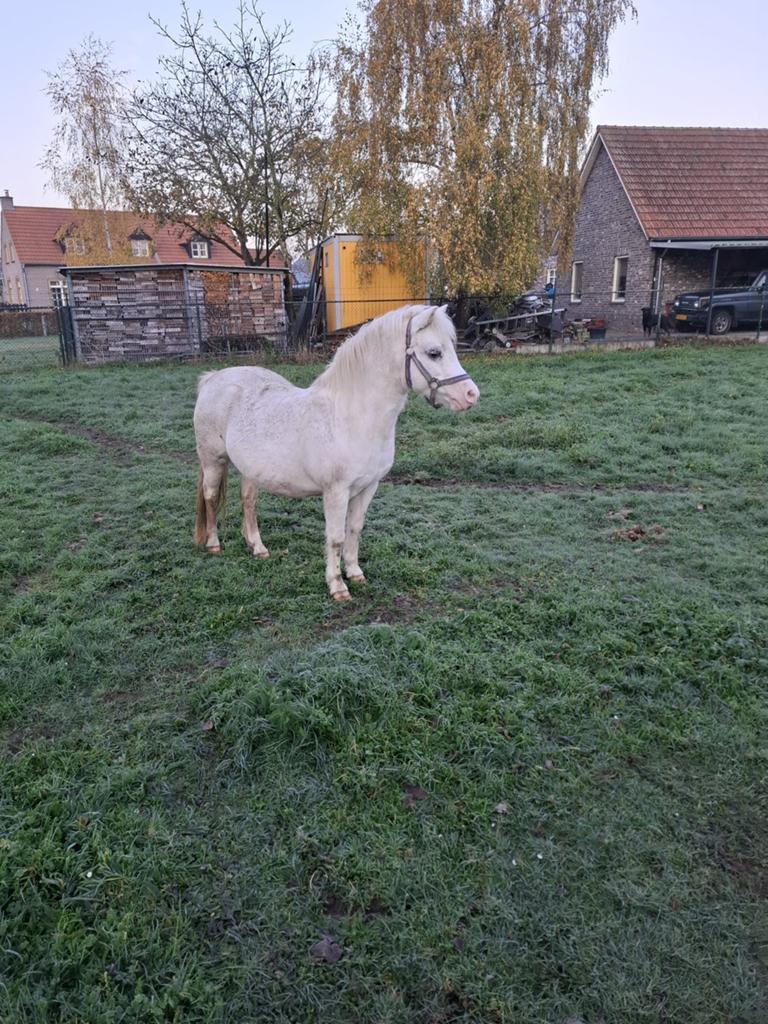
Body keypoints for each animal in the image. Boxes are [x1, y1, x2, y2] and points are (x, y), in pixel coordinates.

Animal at [193, 304, 479, 601]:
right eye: (434, 352)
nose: (471, 395)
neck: (350, 416)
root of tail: (213, 378)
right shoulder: (336, 491)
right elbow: (336, 537)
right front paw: (337, 585)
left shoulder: (368, 487)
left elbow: (354, 529)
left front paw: (355, 573)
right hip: (213, 460)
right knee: (210, 497)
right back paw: (213, 544)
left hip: (250, 469)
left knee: (247, 501)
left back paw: (258, 548)